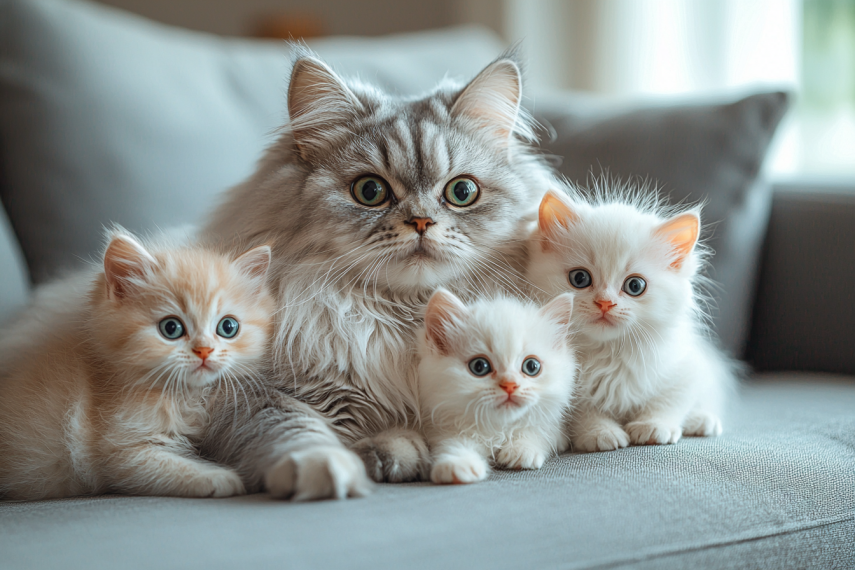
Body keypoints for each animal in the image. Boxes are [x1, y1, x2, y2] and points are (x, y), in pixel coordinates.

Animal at [0, 230, 274, 496]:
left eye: (228, 327)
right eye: (171, 328)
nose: (204, 350)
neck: (180, 395)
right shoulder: (119, 452)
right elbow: (168, 467)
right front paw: (220, 478)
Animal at [201, 46, 560, 494]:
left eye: (462, 192)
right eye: (370, 191)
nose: (421, 221)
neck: (405, 317)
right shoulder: (247, 394)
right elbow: (296, 429)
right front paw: (331, 468)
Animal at [418, 288, 580, 484]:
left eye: (531, 366)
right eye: (479, 366)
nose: (510, 385)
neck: (497, 430)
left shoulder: (555, 429)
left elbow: (537, 431)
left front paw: (521, 450)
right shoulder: (441, 428)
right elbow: (452, 443)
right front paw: (457, 464)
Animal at [528, 184, 736, 450]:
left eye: (635, 286)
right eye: (580, 279)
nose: (605, 303)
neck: (608, 353)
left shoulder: (686, 367)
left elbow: (670, 400)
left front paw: (652, 426)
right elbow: (583, 411)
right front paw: (601, 433)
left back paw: (701, 421)